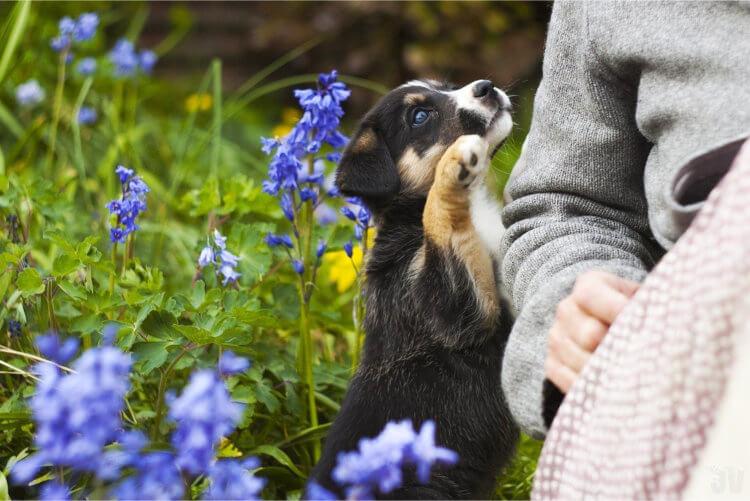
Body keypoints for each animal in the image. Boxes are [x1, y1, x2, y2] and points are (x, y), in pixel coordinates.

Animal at [310, 79, 516, 496]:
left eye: (447, 87)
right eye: (420, 116)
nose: (486, 87)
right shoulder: (458, 312)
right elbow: (439, 217)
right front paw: (453, 166)